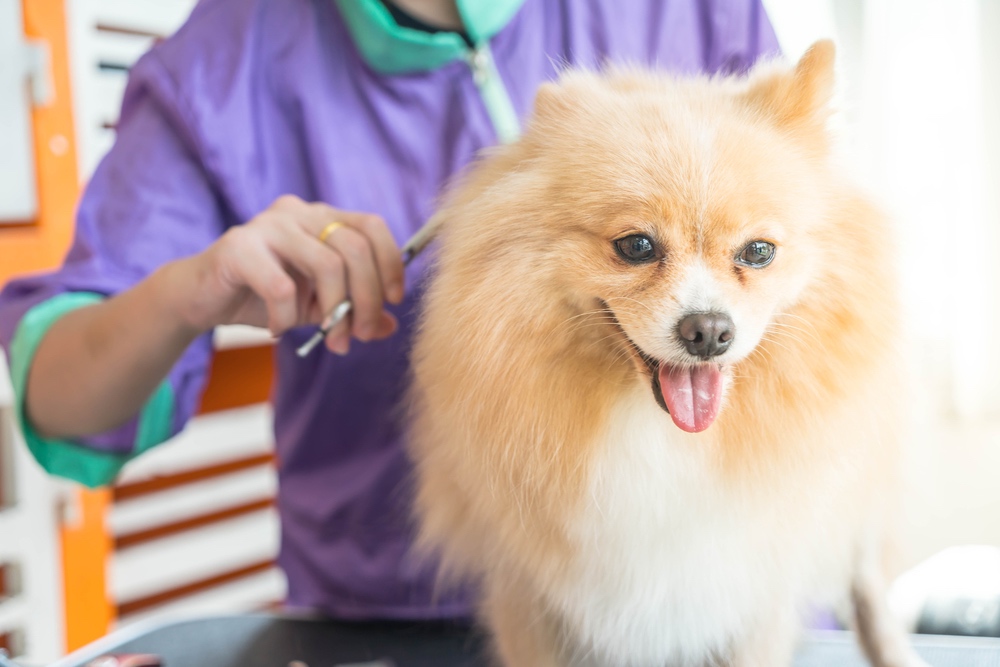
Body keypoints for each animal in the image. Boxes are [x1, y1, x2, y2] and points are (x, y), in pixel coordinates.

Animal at [406, 41, 920, 667]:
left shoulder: (755, 587)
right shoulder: (530, 591)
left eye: (758, 252)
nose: (709, 331)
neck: (661, 434)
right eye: (637, 246)